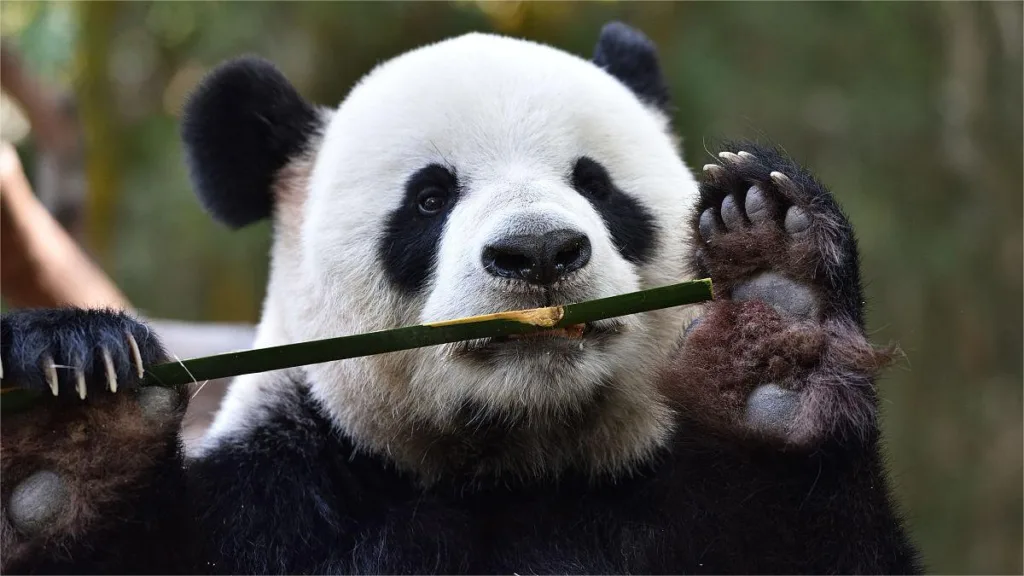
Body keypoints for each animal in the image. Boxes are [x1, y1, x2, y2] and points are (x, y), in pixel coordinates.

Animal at [0, 22, 921, 575]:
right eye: (429, 198)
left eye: (596, 183)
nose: (538, 252)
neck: (510, 462)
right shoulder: (284, 503)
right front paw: (73, 437)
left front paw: (774, 326)